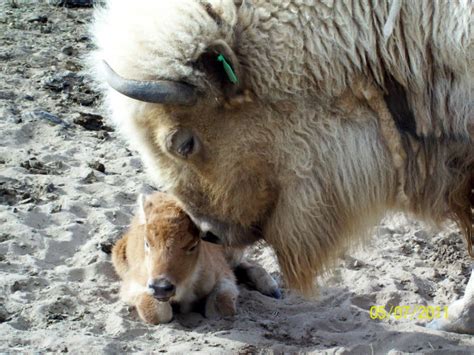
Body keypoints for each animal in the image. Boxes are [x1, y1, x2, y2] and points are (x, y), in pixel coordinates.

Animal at [110, 193, 237, 324]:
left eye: (193, 245)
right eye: (147, 243)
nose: (160, 288)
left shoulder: (223, 273)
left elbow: (222, 307)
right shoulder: (134, 283)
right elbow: (158, 313)